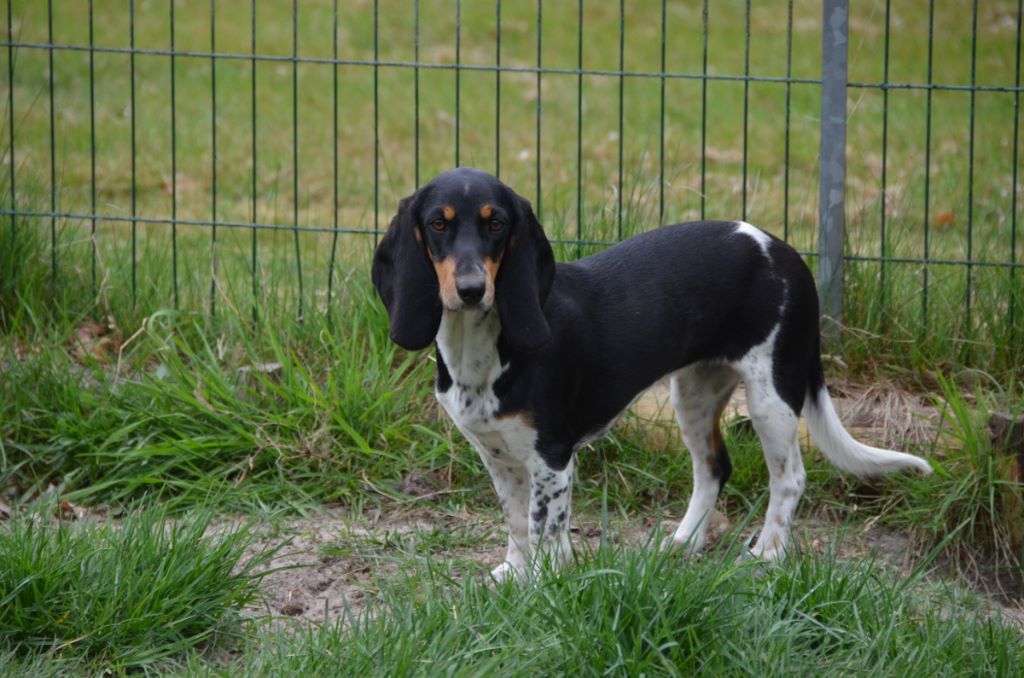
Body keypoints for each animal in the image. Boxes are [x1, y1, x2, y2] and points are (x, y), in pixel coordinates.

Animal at [372, 166, 933, 581]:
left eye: (496, 224)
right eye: (438, 224)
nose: (471, 289)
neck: (483, 349)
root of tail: (787, 252)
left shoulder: (552, 459)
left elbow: (545, 529)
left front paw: (543, 585)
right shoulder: (496, 454)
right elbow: (516, 522)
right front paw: (514, 574)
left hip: (772, 395)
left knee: (789, 478)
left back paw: (767, 555)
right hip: (695, 394)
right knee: (714, 469)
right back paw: (682, 543)